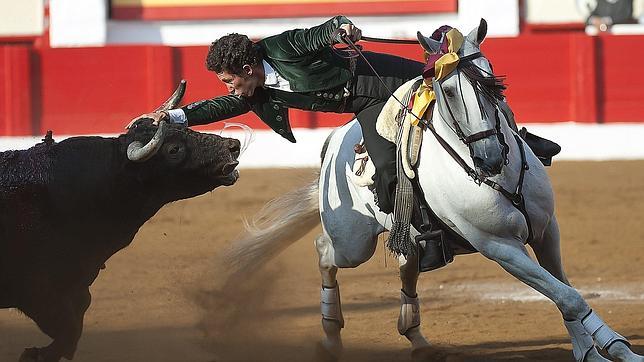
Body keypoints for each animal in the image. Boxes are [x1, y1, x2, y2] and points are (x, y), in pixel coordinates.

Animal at [0, 122, 242, 362]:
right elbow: (68, 328)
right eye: (174, 149)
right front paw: (34, 355)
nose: (234, 145)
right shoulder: (38, 290)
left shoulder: (74, 284)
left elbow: (76, 323)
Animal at [229, 20, 640, 362]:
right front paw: (600, 352)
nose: (490, 156)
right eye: (449, 91)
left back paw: (416, 336)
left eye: (492, 80)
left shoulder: (545, 230)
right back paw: (331, 336)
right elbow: (567, 297)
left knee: (406, 263)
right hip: (353, 243)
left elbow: (565, 292)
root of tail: (333, 143)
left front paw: (607, 349)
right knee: (325, 251)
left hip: (408, 232)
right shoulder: (499, 247)